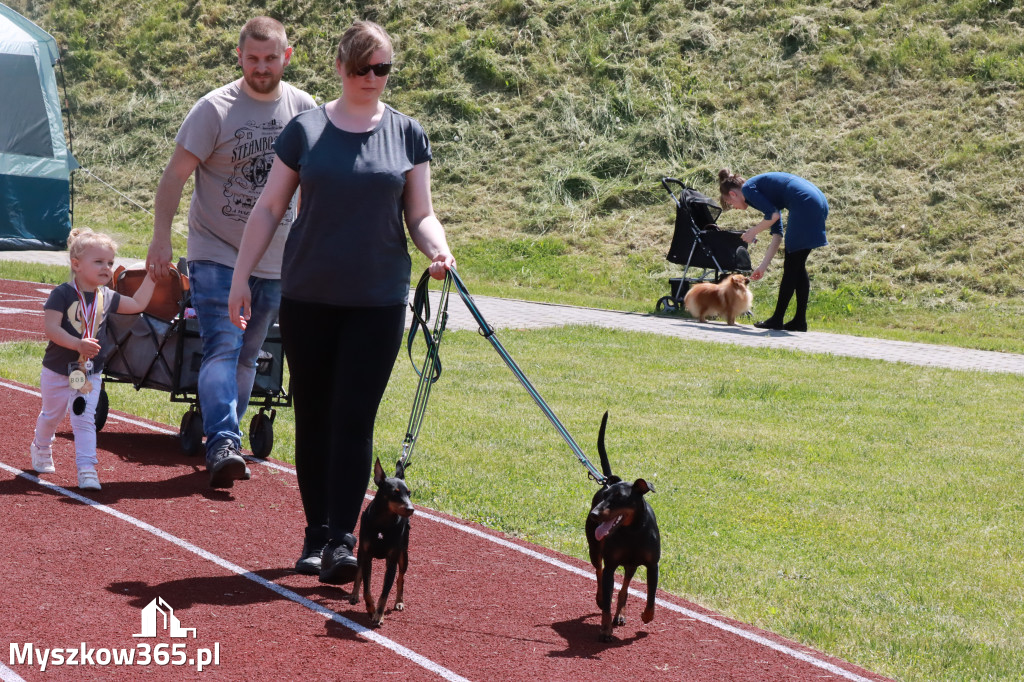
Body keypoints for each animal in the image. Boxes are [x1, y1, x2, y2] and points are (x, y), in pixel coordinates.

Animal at [350, 456, 413, 626]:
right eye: (394, 493)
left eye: (409, 494)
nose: (411, 509)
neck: (382, 525)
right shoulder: (367, 556)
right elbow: (366, 588)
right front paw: (371, 609)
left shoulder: (392, 561)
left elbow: (385, 592)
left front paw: (379, 614)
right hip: (360, 553)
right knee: (359, 572)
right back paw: (354, 595)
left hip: (403, 555)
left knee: (401, 578)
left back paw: (399, 601)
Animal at [589, 411, 659, 638]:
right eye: (604, 496)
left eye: (619, 498)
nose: (594, 514)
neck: (632, 532)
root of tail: (606, 480)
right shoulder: (612, 565)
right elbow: (607, 593)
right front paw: (605, 628)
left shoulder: (652, 565)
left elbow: (651, 597)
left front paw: (646, 616)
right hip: (595, 549)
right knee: (599, 572)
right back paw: (601, 599)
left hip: (631, 565)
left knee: (624, 588)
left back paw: (620, 614)